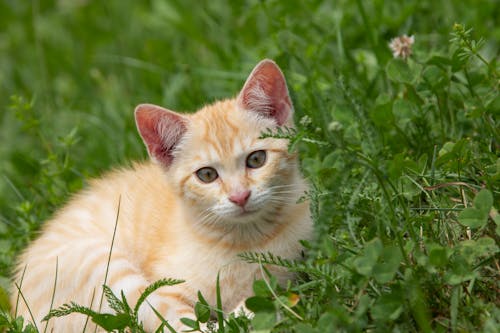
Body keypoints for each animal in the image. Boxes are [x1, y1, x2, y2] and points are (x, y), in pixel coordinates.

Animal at [11, 59, 312, 330]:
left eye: (257, 159)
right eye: (206, 175)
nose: (240, 196)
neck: (246, 240)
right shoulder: (164, 290)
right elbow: (177, 321)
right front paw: (242, 314)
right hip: (100, 266)